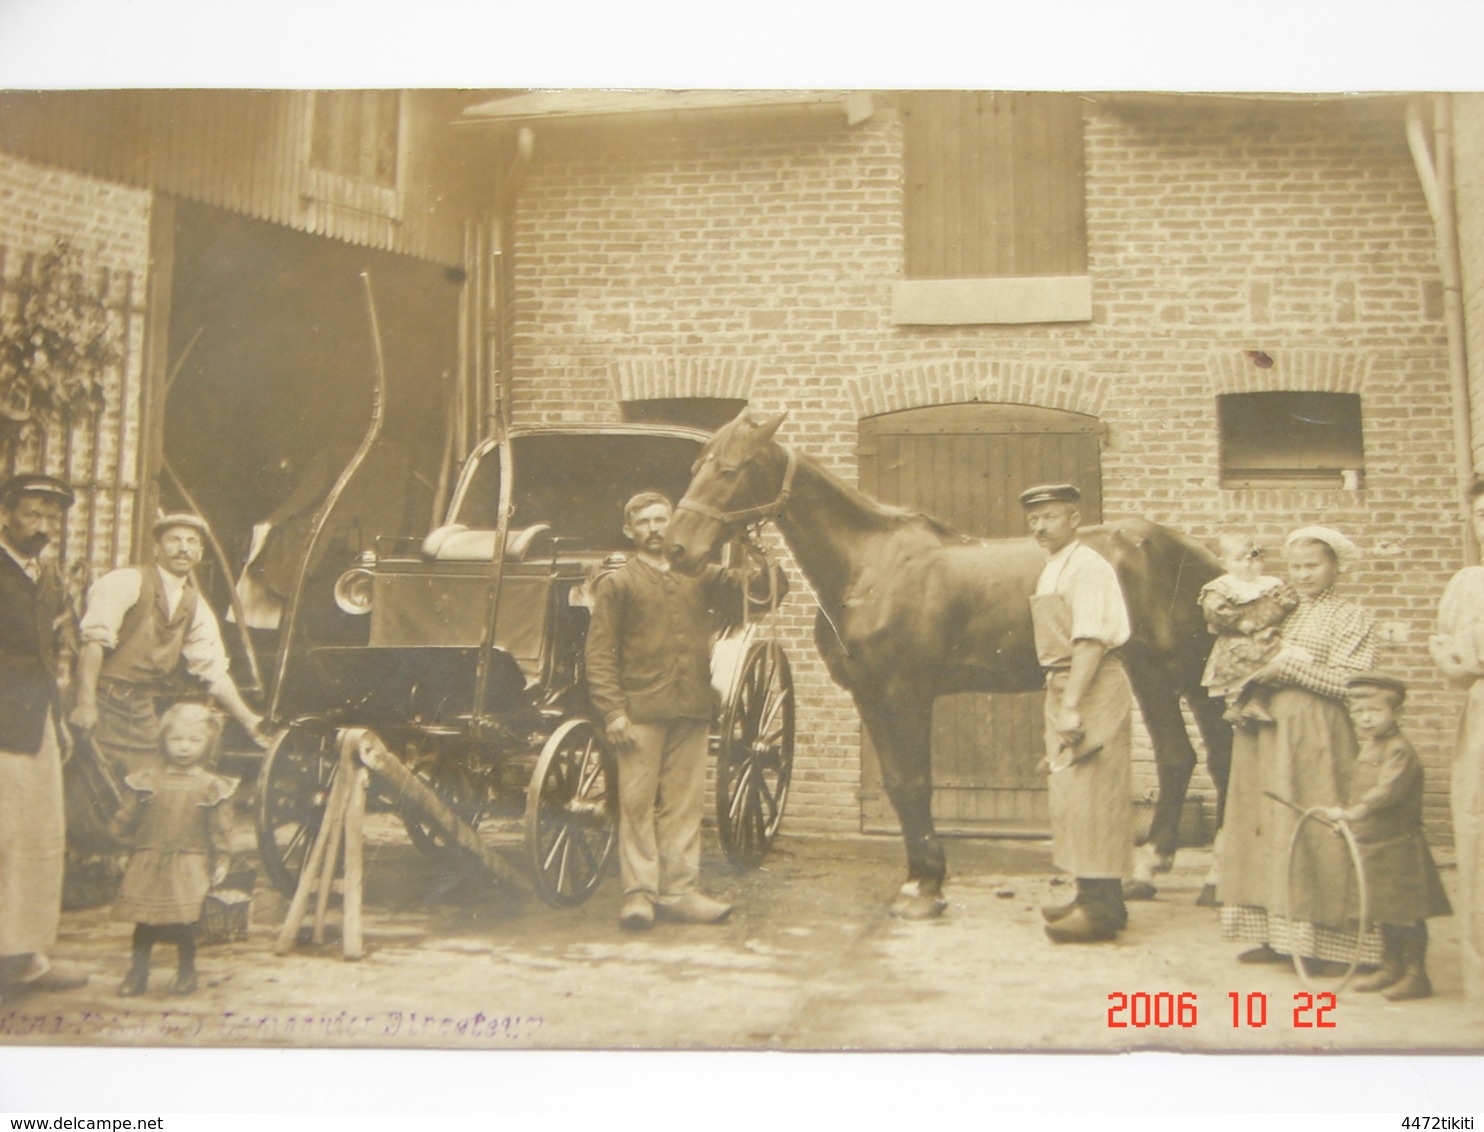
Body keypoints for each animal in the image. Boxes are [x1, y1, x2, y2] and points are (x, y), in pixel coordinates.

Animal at [667, 406, 1234, 919]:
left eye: (731, 470)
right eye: (695, 465)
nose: (677, 550)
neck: (869, 568)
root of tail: (1199, 555)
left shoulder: (906, 694)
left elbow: (916, 783)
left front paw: (926, 887)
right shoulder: (869, 696)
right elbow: (898, 785)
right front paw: (919, 878)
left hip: (1169, 674)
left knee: (1197, 758)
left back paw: (1190, 876)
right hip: (1168, 676)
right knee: (1193, 758)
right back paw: (1166, 875)